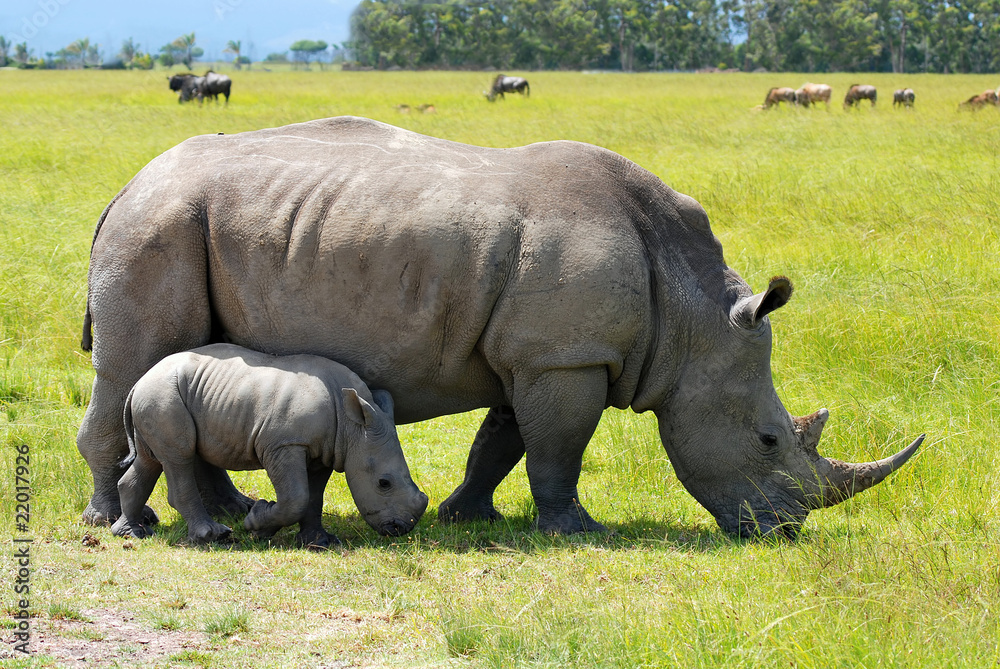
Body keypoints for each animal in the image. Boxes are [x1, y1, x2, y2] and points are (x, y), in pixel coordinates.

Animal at [111, 343, 428, 546]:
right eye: (384, 483)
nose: (401, 528)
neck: (354, 426)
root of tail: (138, 382)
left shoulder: (325, 450)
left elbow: (313, 497)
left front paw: (320, 542)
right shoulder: (282, 444)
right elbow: (296, 497)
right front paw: (256, 524)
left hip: (156, 396)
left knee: (150, 460)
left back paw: (132, 533)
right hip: (163, 395)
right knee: (180, 457)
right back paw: (214, 536)